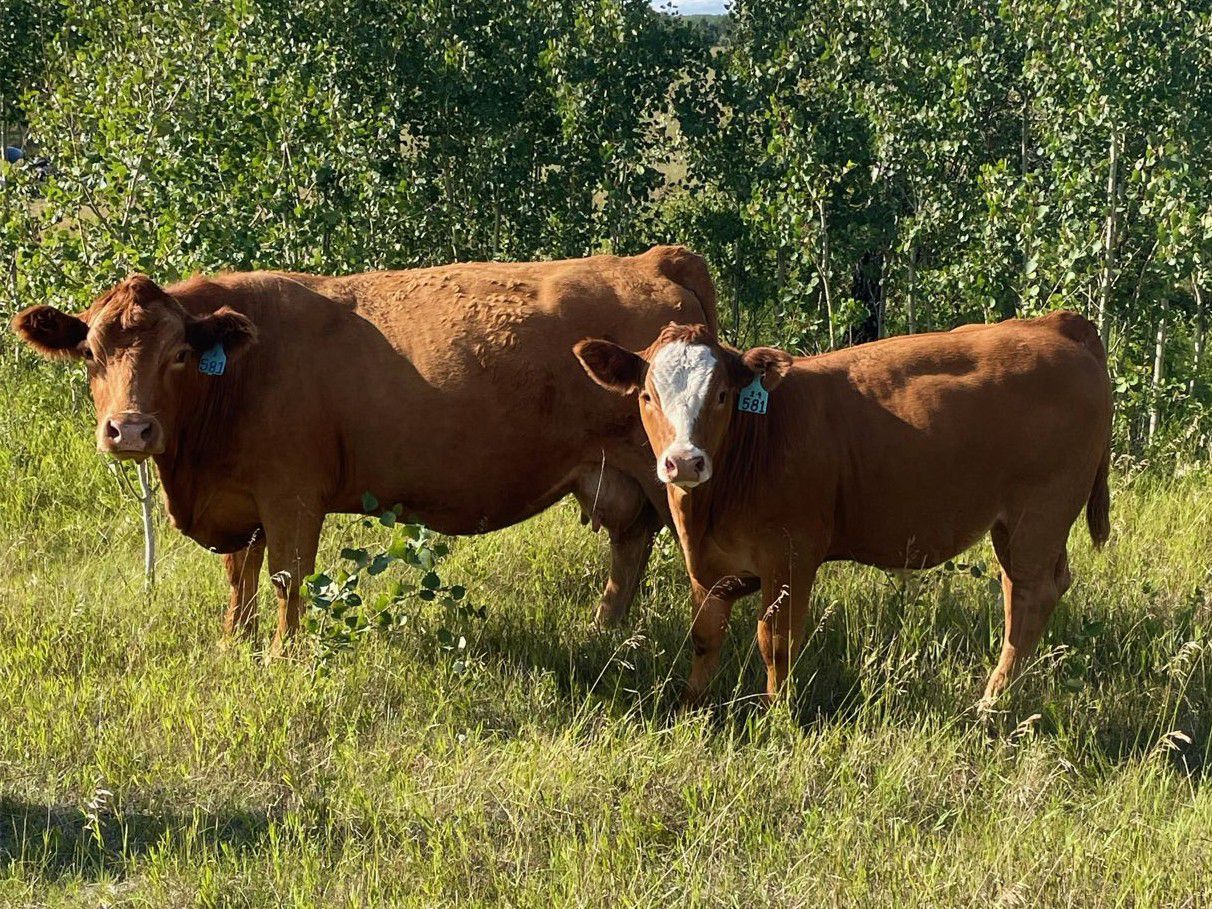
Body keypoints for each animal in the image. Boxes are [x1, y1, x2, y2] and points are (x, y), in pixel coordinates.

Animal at [12, 246, 718, 650]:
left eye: (181, 354)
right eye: (91, 353)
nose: (130, 429)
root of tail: (652, 259)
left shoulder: (293, 496)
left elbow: (286, 578)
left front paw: (282, 658)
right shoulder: (239, 501)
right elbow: (240, 578)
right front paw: (234, 648)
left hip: (672, 476)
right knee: (629, 550)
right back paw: (604, 634)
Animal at [574, 312, 1112, 707]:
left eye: (722, 394)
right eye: (647, 395)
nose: (684, 460)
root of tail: (1053, 325)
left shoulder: (791, 558)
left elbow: (776, 642)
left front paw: (777, 715)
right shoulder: (708, 567)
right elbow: (705, 635)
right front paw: (692, 707)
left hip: (1037, 515)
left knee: (1030, 595)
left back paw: (992, 703)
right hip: (1016, 526)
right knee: (1025, 589)